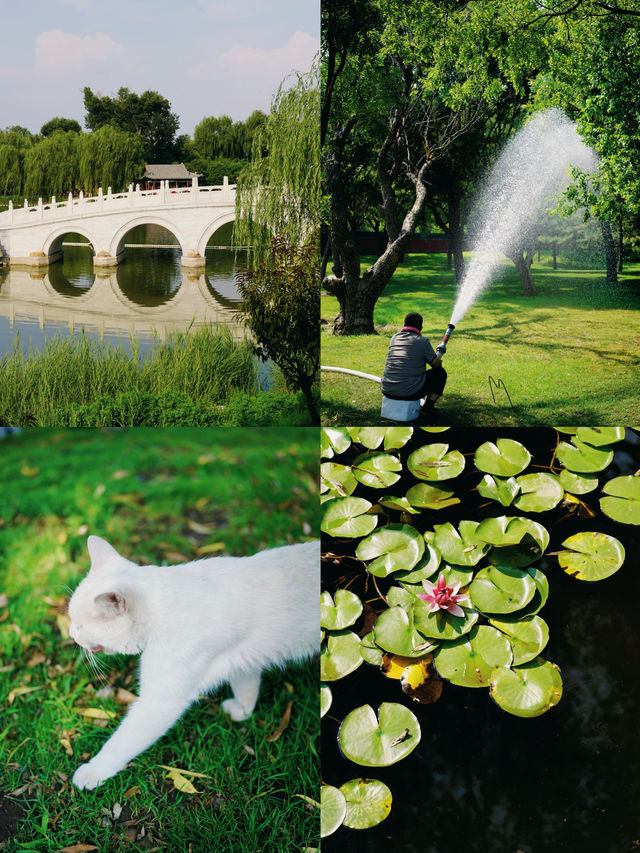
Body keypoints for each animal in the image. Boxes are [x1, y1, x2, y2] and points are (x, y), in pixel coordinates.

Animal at [69, 536, 318, 788]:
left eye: (80, 625)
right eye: (71, 620)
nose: (71, 634)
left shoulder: (160, 702)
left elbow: (121, 742)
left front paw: (92, 772)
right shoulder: (242, 660)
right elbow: (246, 690)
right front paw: (242, 712)